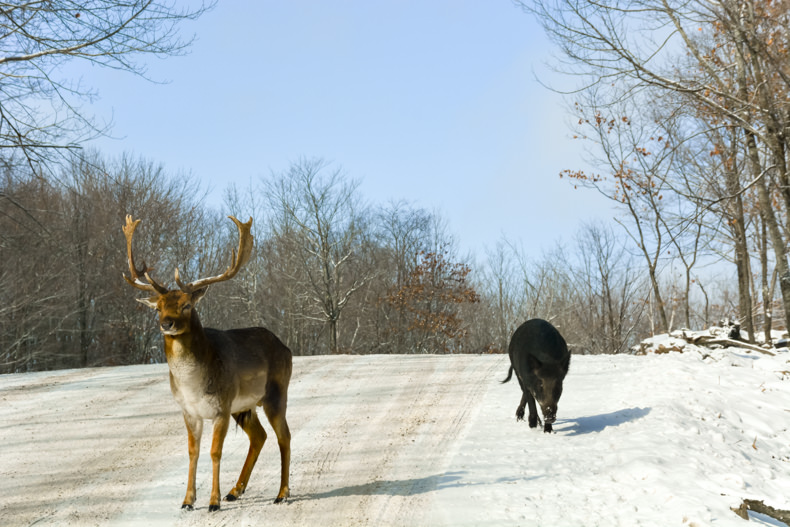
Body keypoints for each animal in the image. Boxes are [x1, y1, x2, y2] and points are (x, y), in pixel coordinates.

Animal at [124, 213, 294, 512]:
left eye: (187, 306)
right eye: (159, 307)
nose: (166, 324)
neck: (193, 385)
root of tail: (286, 348)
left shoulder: (221, 407)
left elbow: (215, 452)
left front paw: (213, 502)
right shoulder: (189, 411)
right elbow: (193, 452)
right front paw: (188, 501)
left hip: (275, 392)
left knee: (284, 436)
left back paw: (281, 493)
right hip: (245, 405)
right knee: (259, 436)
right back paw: (235, 491)